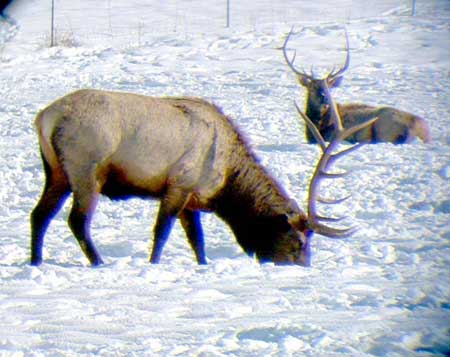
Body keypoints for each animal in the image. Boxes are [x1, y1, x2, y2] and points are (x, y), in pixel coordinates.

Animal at [29, 87, 372, 266]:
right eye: (299, 242)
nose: (303, 268)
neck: (225, 184)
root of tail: (44, 117)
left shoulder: (191, 199)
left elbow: (197, 240)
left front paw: (203, 265)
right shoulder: (179, 183)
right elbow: (162, 232)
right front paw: (153, 264)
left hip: (56, 172)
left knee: (39, 214)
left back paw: (36, 261)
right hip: (88, 169)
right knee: (76, 220)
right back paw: (99, 262)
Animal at [284, 27, 430, 144]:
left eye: (329, 88)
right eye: (313, 87)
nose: (324, 98)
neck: (317, 124)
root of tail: (421, 131)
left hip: (383, 125)